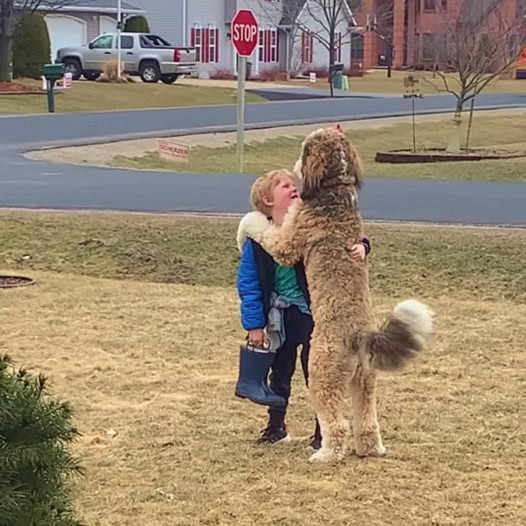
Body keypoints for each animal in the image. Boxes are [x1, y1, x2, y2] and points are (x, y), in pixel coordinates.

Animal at [258, 129, 436, 466]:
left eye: (305, 149)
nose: (295, 165)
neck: (335, 188)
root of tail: (361, 335)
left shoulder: (290, 242)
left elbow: (267, 234)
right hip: (364, 379)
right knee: (367, 420)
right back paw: (371, 449)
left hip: (322, 373)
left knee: (336, 423)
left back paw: (326, 454)